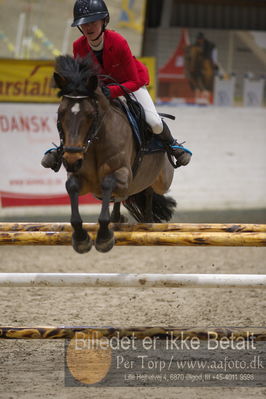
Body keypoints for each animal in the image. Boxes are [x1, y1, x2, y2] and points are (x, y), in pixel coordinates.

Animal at [53, 55, 176, 255]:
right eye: (60, 113)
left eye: (90, 114)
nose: (71, 160)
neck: (95, 141)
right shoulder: (83, 179)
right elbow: (72, 187)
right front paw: (81, 238)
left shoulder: (123, 175)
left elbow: (108, 183)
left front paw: (104, 237)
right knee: (124, 198)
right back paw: (118, 217)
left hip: (162, 180)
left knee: (150, 189)